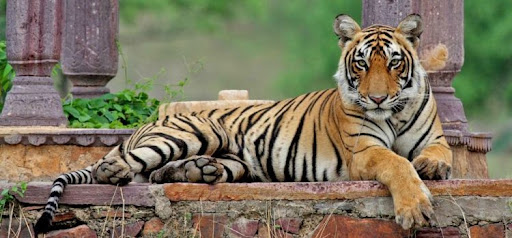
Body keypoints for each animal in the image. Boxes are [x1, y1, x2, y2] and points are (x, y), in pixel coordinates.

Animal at [34, 13, 450, 234]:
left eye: (394, 63)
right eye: (361, 63)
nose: (377, 98)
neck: (394, 112)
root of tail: (151, 120)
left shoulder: (434, 138)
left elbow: (437, 154)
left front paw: (432, 167)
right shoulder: (364, 151)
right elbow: (397, 164)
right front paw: (415, 209)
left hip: (235, 161)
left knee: (158, 174)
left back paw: (199, 171)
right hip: (194, 132)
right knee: (116, 167)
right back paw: (119, 170)